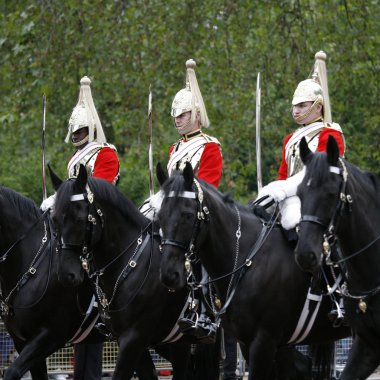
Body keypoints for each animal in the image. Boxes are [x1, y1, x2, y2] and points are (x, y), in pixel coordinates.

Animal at [52, 166, 221, 380]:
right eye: (54, 219)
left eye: (78, 218)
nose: (66, 274)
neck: (127, 264)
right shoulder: (130, 340)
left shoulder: (133, 338)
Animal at [155, 162, 350, 378]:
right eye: (160, 215)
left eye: (188, 215)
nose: (169, 274)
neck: (248, 257)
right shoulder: (252, 343)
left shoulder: (264, 342)